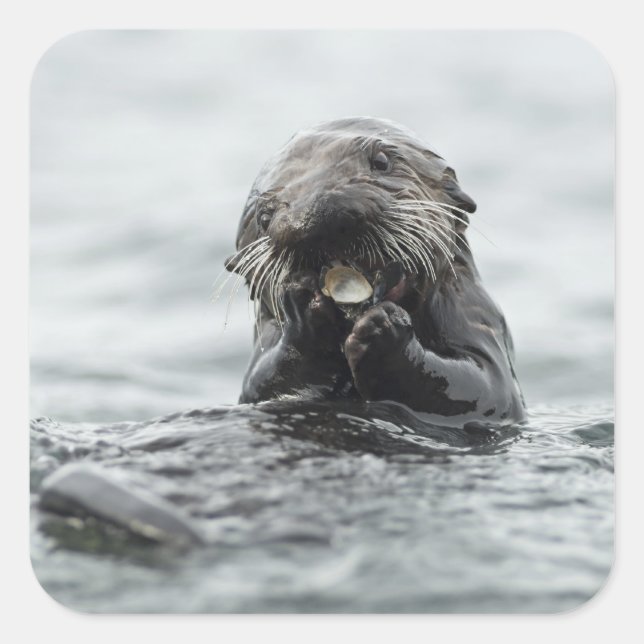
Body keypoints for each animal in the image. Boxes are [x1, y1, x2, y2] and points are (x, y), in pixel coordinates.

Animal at [225, 117, 526, 424]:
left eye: (381, 161)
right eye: (264, 217)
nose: (316, 215)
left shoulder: (475, 315)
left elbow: (485, 387)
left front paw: (384, 327)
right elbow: (264, 384)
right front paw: (304, 310)